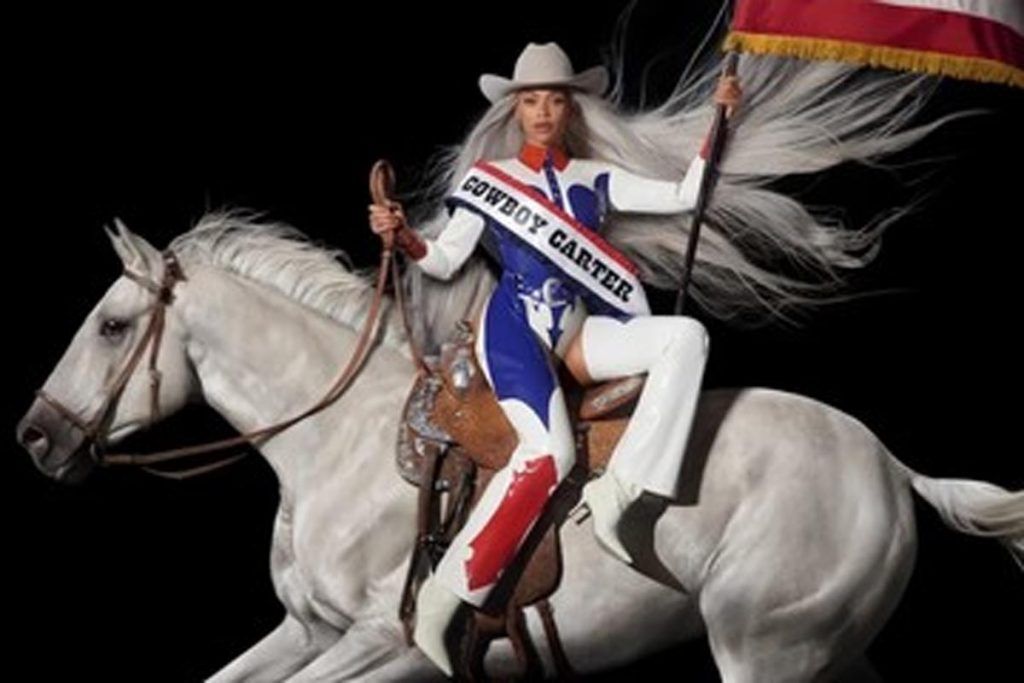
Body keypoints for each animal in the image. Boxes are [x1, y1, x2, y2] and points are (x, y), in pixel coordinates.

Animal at [16, 211, 1023, 682]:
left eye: (112, 326)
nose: (36, 435)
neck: (338, 448)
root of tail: (888, 467)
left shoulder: (381, 645)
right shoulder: (307, 631)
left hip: (768, 653)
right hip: (822, 650)